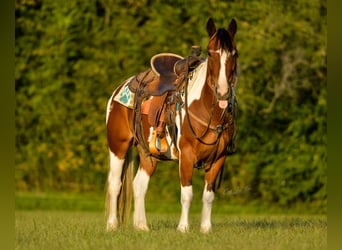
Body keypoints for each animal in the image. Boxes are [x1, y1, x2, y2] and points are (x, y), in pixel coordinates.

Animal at [106, 17, 238, 232]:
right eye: (211, 53)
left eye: (234, 53)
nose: (223, 91)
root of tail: (119, 89)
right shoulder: (186, 155)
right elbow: (187, 194)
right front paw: (183, 228)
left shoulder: (219, 158)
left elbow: (208, 196)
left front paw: (206, 229)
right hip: (118, 146)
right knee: (115, 183)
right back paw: (112, 225)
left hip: (148, 153)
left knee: (139, 185)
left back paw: (142, 226)